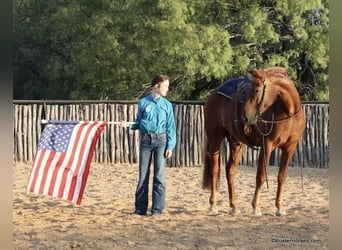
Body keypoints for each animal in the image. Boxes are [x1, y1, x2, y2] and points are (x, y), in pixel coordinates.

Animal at [203, 67, 304, 217]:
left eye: (256, 90)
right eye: (246, 91)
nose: (245, 117)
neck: (288, 111)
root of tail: (213, 94)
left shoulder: (290, 147)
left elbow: (282, 176)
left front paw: (279, 207)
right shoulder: (267, 145)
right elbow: (260, 176)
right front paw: (256, 207)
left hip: (236, 142)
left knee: (230, 170)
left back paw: (234, 206)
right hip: (215, 139)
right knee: (215, 170)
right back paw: (213, 205)